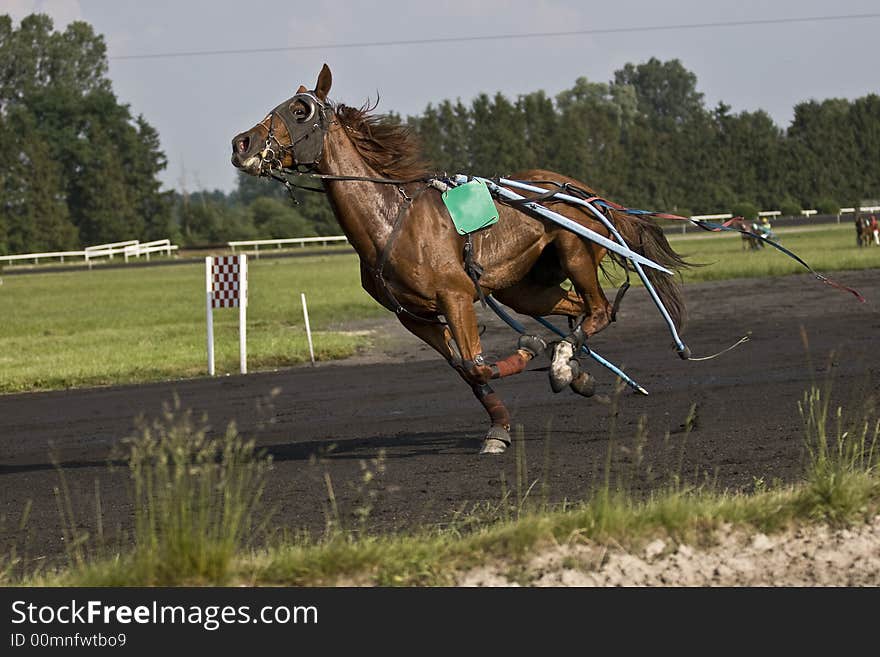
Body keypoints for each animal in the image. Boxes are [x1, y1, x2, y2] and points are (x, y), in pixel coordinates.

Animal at [229, 68, 688, 456]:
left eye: (300, 110)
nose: (241, 144)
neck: (390, 220)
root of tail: (580, 189)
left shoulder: (456, 297)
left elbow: (477, 365)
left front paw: (528, 350)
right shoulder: (414, 318)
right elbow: (467, 373)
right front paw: (500, 427)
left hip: (574, 253)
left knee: (599, 310)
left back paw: (562, 364)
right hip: (523, 288)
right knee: (579, 310)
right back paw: (573, 369)